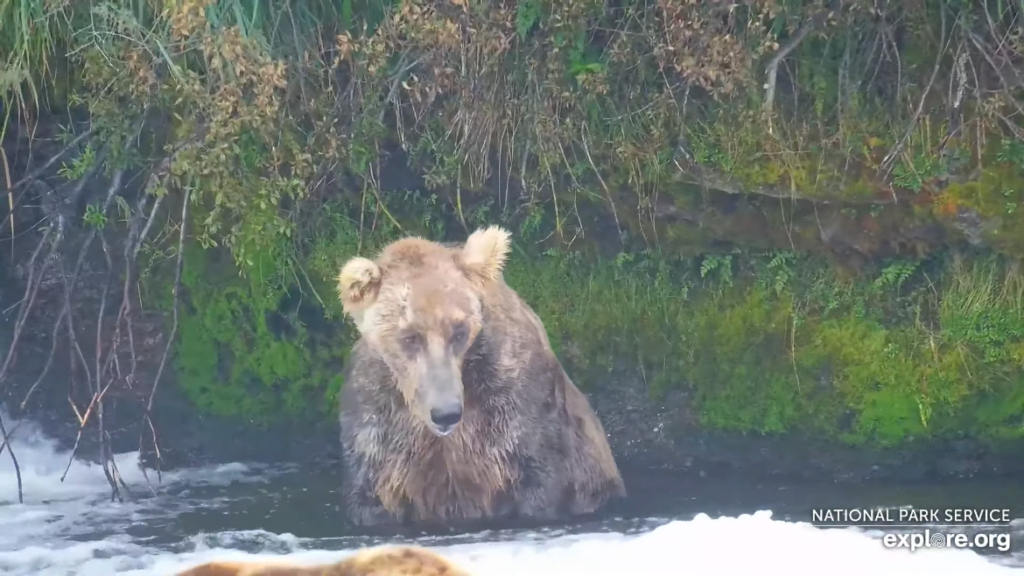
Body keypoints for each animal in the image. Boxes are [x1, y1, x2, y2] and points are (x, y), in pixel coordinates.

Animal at [335, 224, 622, 524]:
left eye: (459, 331)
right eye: (410, 337)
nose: (446, 413)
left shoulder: (516, 406)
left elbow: (541, 477)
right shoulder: (379, 417)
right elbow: (373, 491)